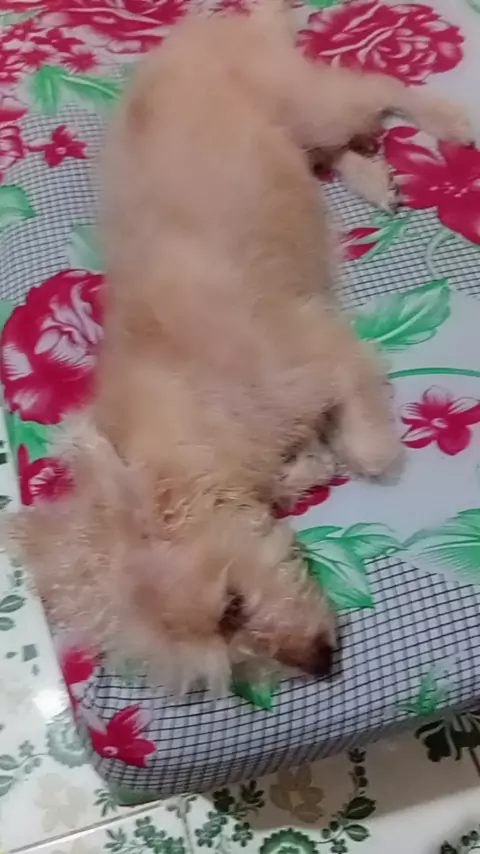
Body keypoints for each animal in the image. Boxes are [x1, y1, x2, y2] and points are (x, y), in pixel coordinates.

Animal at [8, 0, 471, 693]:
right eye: (224, 659)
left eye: (229, 605)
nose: (321, 665)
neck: (188, 410)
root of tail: (215, 22)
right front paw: (308, 467)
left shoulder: (321, 355)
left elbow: (367, 453)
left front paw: (356, 452)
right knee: (330, 148)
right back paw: (370, 175)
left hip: (310, 101)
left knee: (382, 92)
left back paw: (448, 120)